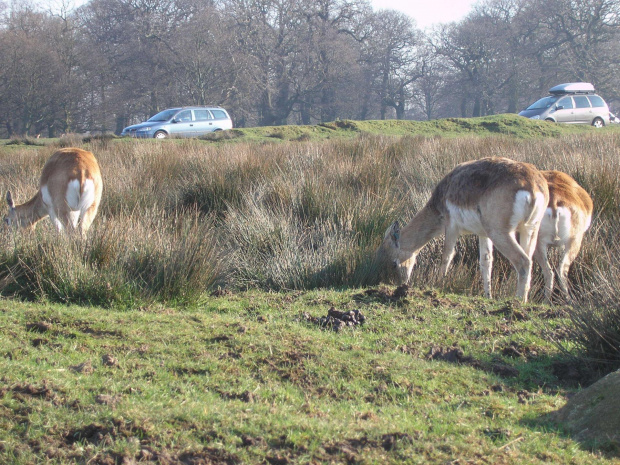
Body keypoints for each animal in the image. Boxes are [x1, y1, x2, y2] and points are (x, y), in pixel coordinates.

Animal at [378, 156, 548, 300]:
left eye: (394, 263)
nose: (399, 284)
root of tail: (532, 183)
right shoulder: (482, 234)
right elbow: (486, 262)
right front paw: (488, 296)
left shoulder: (451, 226)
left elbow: (447, 256)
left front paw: (437, 285)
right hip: (529, 231)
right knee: (529, 261)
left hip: (501, 233)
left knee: (523, 262)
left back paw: (518, 301)